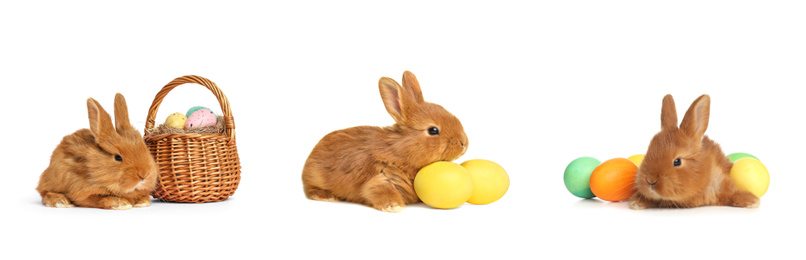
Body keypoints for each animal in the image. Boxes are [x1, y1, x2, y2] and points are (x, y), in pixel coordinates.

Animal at [302, 70, 468, 211]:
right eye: (433, 130)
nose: (464, 143)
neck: (399, 150)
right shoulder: (380, 176)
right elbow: (381, 191)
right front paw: (394, 207)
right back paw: (326, 196)